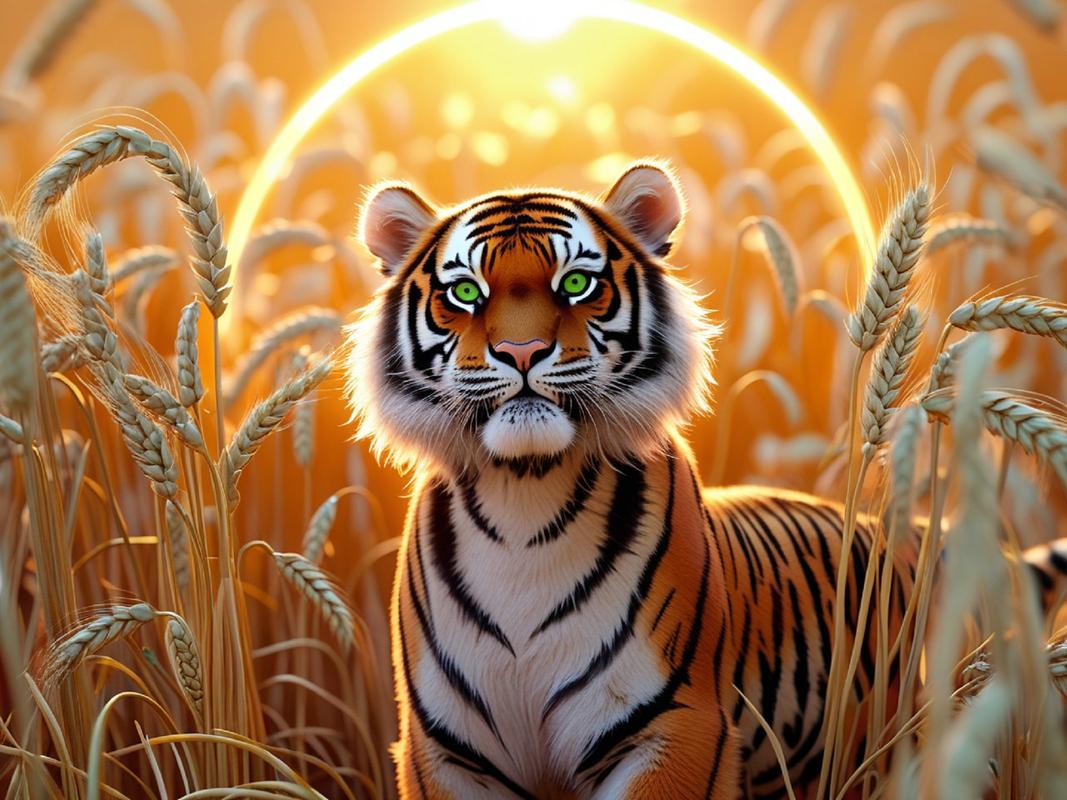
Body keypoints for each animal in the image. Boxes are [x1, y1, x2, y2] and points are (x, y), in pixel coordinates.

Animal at [345, 159, 1067, 799]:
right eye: (465, 292)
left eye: (576, 283)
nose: (521, 352)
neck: (524, 498)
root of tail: (913, 537)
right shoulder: (443, 755)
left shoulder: (677, 730)